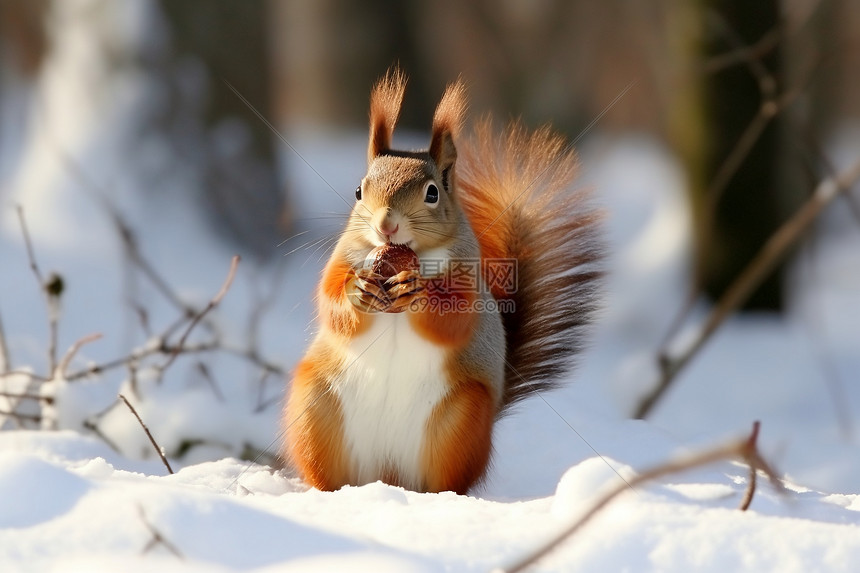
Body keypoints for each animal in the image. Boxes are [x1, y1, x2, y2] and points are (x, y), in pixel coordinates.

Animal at [278, 69, 600, 494]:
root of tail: (388, 475)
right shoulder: (345, 257)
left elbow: (455, 316)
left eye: (432, 193)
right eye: (358, 190)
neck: (409, 253)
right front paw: (357, 291)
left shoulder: (469, 278)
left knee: (446, 479)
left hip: (460, 420)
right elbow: (330, 300)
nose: (386, 224)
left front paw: (417, 294)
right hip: (315, 406)